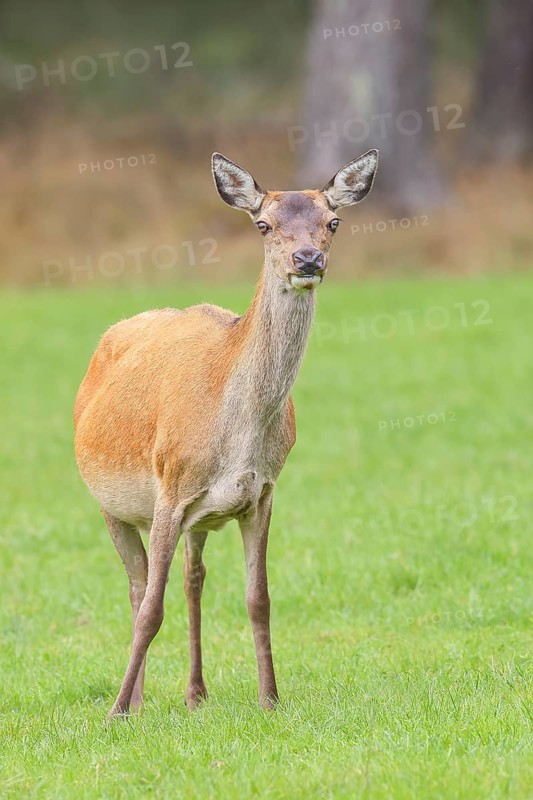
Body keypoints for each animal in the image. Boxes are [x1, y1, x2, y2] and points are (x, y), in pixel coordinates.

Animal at [73, 148, 378, 717]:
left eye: (333, 221)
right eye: (263, 224)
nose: (307, 259)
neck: (238, 433)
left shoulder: (261, 493)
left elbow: (258, 599)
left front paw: (270, 699)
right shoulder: (170, 490)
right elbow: (152, 609)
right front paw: (115, 712)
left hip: (200, 517)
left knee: (192, 580)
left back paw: (196, 693)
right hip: (110, 502)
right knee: (138, 587)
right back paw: (139, 700)